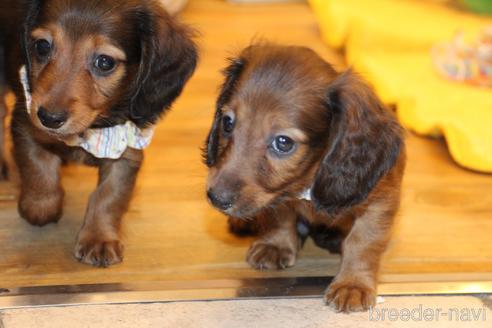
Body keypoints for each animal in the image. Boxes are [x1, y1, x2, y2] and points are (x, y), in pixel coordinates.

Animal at [2, 0, 198, 266]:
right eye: (42, 46)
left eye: (105, 62)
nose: (49, 118)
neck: (90, 129)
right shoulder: (26, 121)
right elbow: (38, 167)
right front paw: (40, 205)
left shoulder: (127, 148)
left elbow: (109, 196)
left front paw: (99, 238)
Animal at [206, 44, 406, 312]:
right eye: (228, 122)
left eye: (283, 142)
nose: (216, 198)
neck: (308, 179)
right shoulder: (278, 193)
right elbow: (280, 217)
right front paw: (276, 245)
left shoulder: (380, 200)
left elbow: (363, 241)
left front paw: (353, 284)